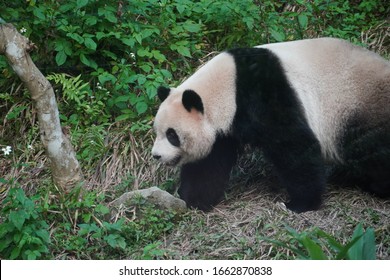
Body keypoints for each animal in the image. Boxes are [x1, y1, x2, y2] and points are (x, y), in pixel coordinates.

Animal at [152, 37, 390, 212]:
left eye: (172, 135)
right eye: (158, 132)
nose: (156, 155)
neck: (227, 87)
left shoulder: (263, 94)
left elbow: (294, 145)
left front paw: (300, 203)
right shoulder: (223, 130)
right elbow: (208, 163)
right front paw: (193, 199)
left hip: (356, 104)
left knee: (371, 149)